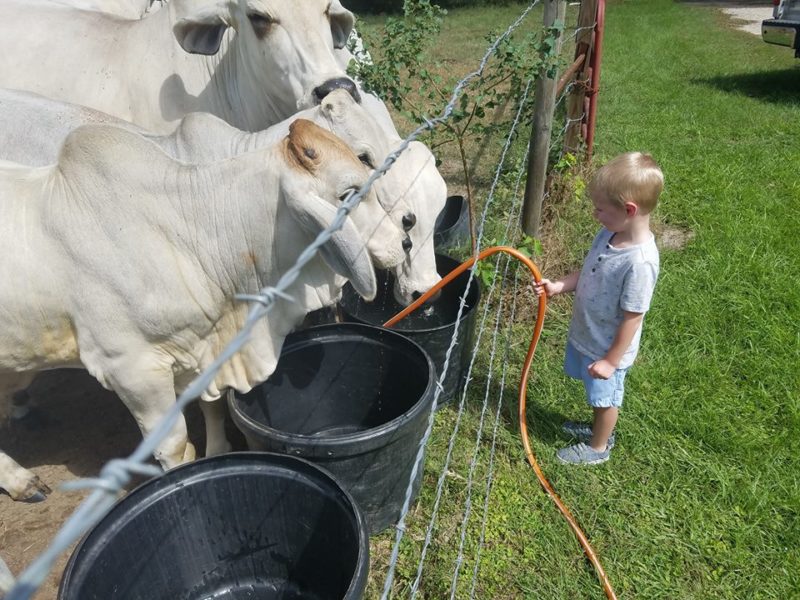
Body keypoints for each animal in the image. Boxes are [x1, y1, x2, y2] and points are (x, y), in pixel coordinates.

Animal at [0, 117, 410, 502]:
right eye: (348, 194)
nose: (405, 240)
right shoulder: (130, 369)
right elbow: (174, 445)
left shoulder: (197, 346)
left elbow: (209, 404)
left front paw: (218, 450)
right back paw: (21, 479)